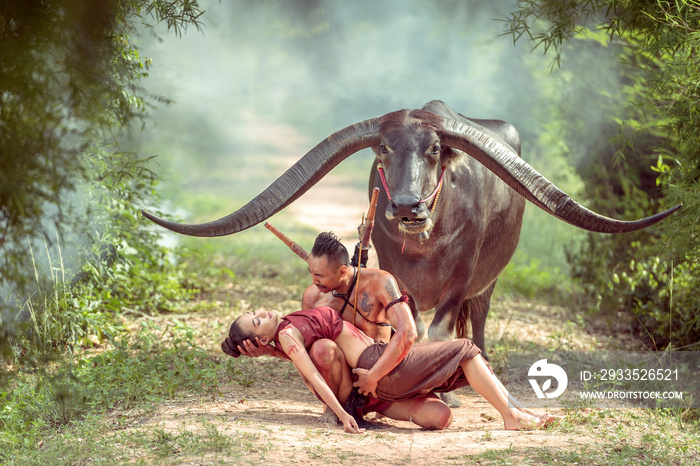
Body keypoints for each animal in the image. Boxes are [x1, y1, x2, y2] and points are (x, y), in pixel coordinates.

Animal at [141, 100, 680, 356]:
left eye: (435, 149)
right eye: (383, 149)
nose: (406, 206)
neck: (426, 243)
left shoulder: (461, 280)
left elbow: (438, 330)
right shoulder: (394, 274)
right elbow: (411, 325)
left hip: (489, 284)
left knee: (479, 319)